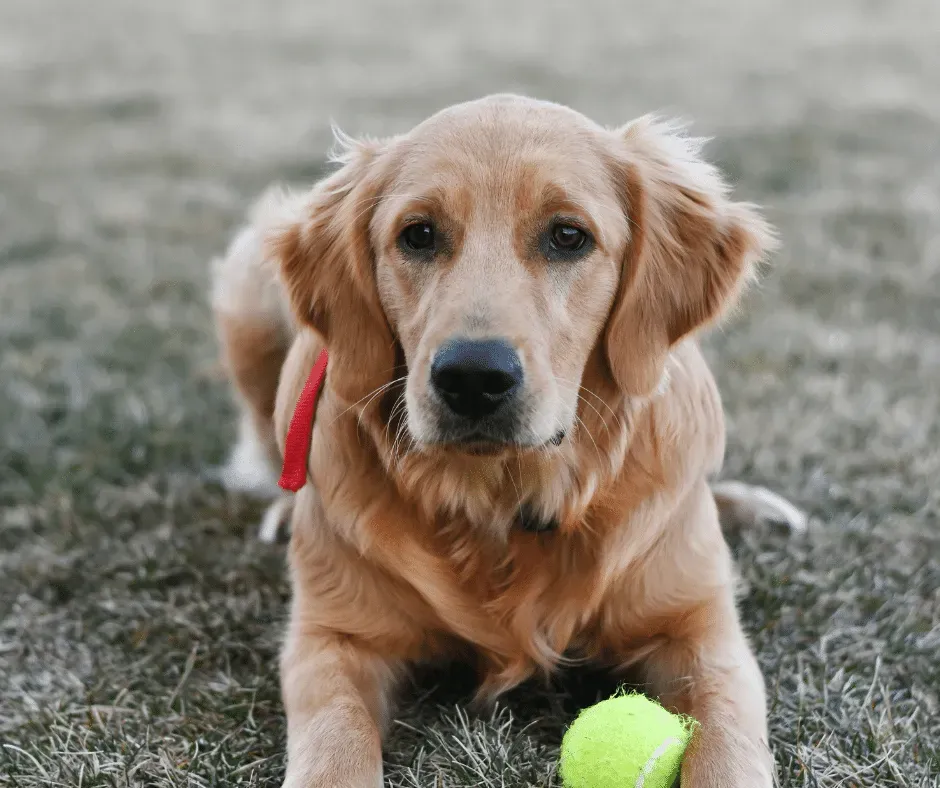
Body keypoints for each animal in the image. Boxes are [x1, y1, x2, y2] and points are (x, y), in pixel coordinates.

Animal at [209, 95, 804, 784]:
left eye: (568, 236)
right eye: (418, 234)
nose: (472, 377)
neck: (500, 505)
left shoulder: (702, 632)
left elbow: (727, 744)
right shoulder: (334, 637)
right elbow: (336, 741)